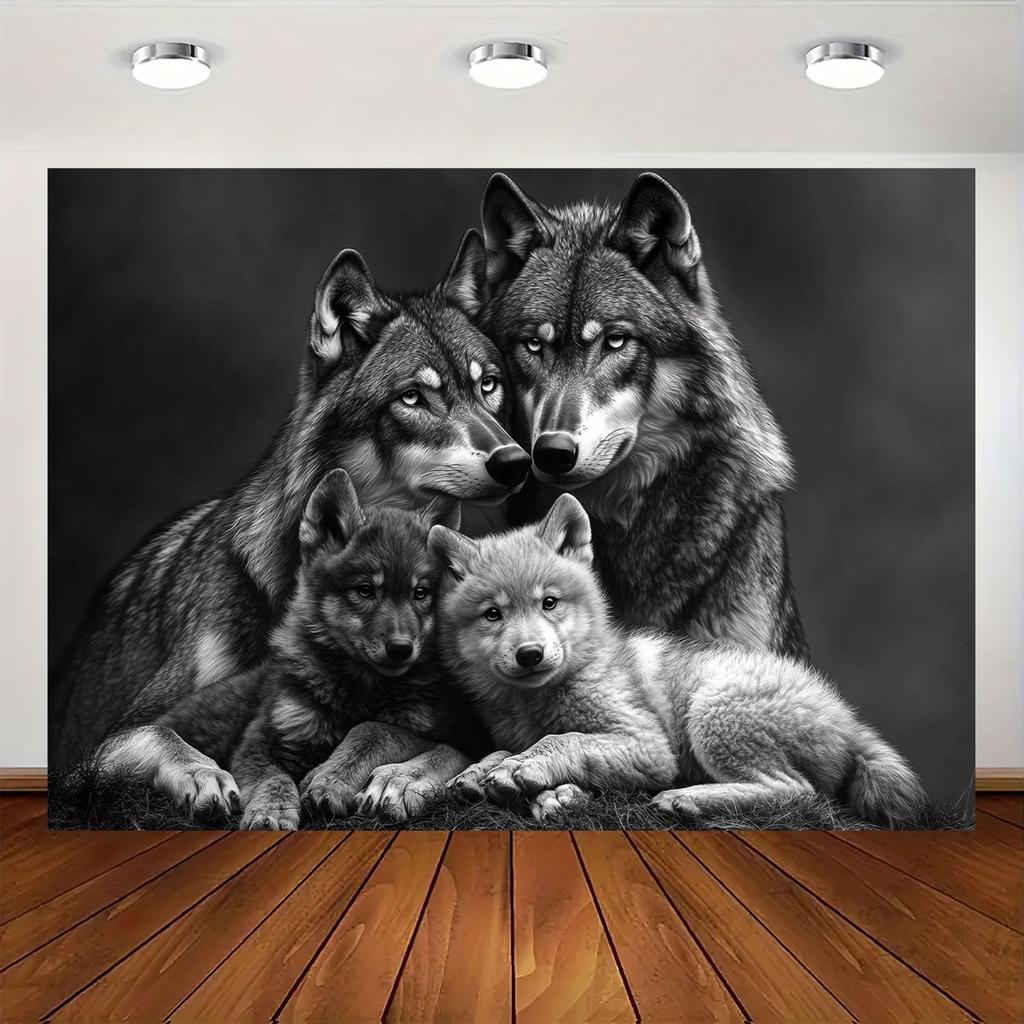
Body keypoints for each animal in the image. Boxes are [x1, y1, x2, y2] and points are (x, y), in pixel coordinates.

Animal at [56, 231, 527, 813]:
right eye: (412, 397)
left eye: (488, 386)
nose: (516, 461)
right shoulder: (110, 742)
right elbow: (168, 736)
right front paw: (207, 776)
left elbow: (439, 747)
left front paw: (403, 777)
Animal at [429, 494, 926, 826]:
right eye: (493, 614)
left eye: (549, 603)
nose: (530, 654)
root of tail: (847, 719)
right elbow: (503, 750)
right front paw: (485, 772)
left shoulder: (649, 746)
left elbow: (564, 740)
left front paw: (526, 769)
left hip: (712, 712)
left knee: (798, 793)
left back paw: (688, 799)